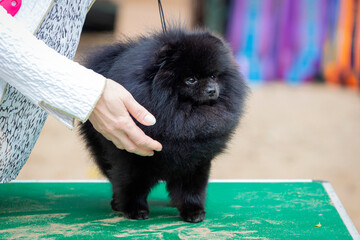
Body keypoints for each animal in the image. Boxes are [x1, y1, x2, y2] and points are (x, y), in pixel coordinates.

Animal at [79, 28, 248, 223]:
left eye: (213, 76)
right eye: (191, 79)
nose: (212, 90)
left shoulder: (196, 161)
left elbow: (192, 190)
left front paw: (193, 211)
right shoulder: (132, 158)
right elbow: (131, 185)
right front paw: (135, 209)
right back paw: (116, 202)